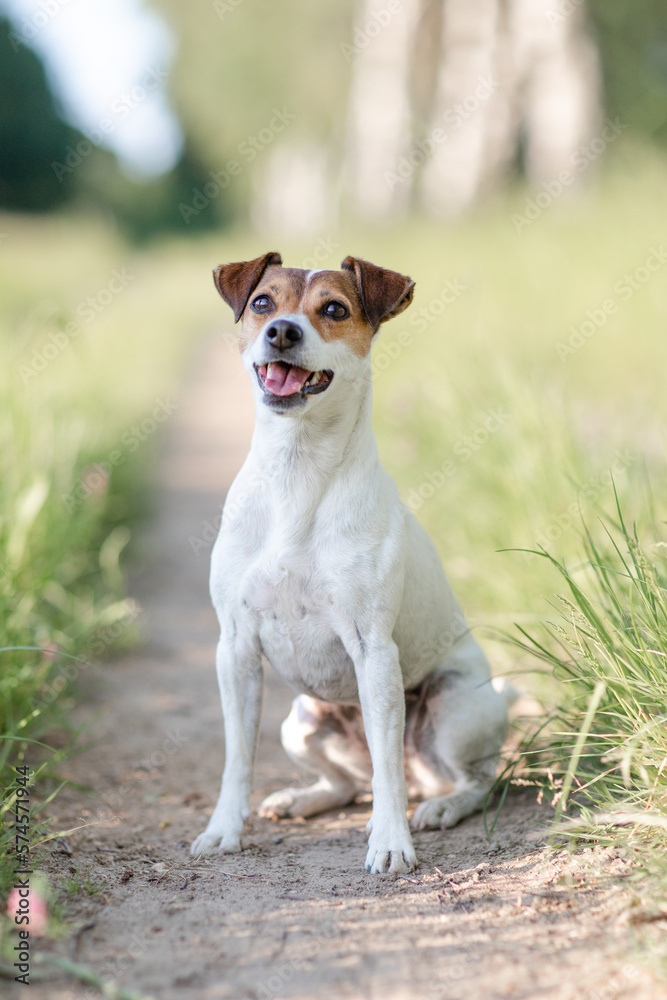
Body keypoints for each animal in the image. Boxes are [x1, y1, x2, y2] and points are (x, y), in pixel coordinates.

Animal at [190, 252, 516, 876]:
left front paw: (389, 843)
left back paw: (438, 806)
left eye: (335, 310)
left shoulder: (374, 651)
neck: (296, 472)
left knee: (465, 779)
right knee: (349, 783)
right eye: (263, 302)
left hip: (455, 706)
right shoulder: (235, 648)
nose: (282, 332)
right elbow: (236, 758)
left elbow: (389, 776)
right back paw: (302, 798)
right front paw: (223, 830)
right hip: (301, 722)